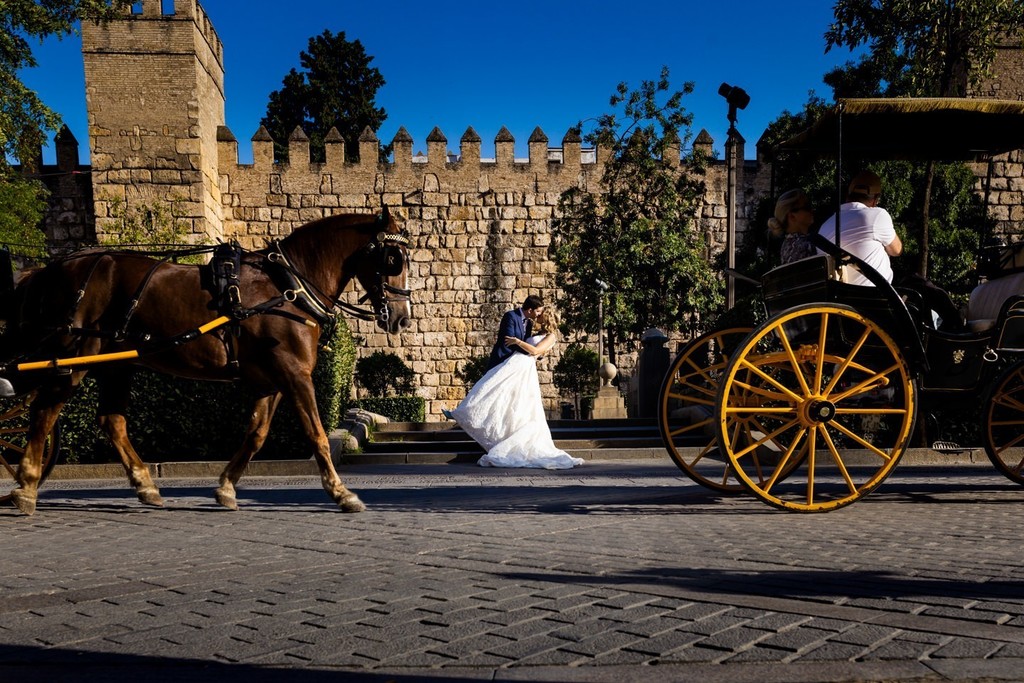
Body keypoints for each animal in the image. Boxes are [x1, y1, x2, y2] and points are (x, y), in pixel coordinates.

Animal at [4, 208, 411, 511]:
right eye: (394, 259)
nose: (402, 317)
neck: (287, 286)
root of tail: (46, 270)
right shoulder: (295, 373)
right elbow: (317, 434)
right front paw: (341, 492)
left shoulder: (273, 379)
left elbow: (257, 434)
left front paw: (227, 486)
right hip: (71, 358)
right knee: (44, 412)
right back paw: (26, 484)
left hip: (116, 363)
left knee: (110, 420)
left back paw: (144, 484)